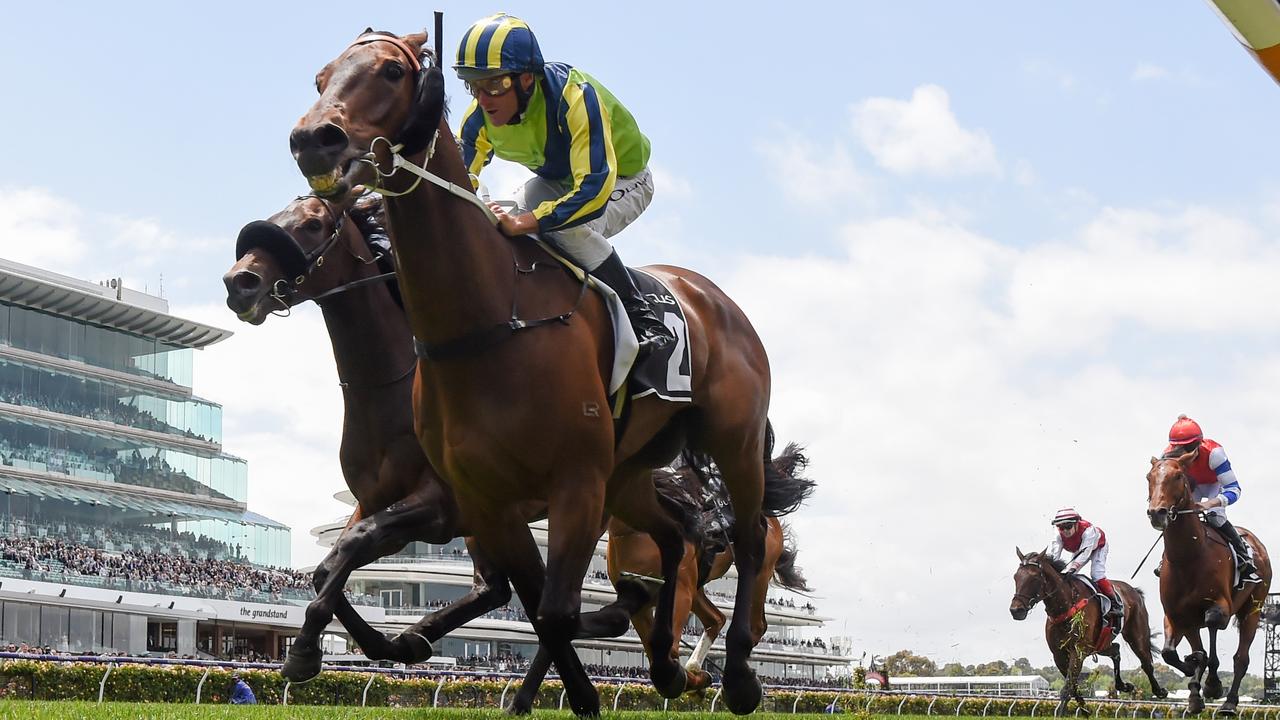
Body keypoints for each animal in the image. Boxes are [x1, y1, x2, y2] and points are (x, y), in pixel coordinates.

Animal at [286, 29, 773, 712]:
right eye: (321, 76)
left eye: (389, 71)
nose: (313, 139)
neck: (486, 323)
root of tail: (712, 294)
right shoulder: (487, 499)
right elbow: (535, 605)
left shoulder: (569, 484)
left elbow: (553, 611)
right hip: (628, 471)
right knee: (673, 538)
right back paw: (667, 664)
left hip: (732, 442)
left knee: (749, 538)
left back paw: (736, 675)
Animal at [506, 435, 808, 707]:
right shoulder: (641, 601)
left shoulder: (677, 594)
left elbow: (665, 659)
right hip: (697, 585)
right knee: (716, 618)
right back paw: (696, 667)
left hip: (757, 572)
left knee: (755, 624)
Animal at [1008, 545, 1172, 707]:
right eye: (1016, 577)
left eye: (1034, 578)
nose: (1016, 610)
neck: (1066, 605)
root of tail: (1134, 590)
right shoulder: (1059, 655)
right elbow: (1074, 690)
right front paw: (1085, 711)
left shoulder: (1078, 651)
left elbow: (1067, 690)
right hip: (1100, 643)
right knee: (1116, 649)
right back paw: (1124, 685)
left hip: (1136, 635)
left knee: (1146, 662)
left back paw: (1159, 691)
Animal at [1152, 453, 1269, 712]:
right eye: (1149, 477)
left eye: (1178, 476)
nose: (1157, 512)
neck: (1188, 557)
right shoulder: (1176, 614)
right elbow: (1170, 653)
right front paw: (1193, 682)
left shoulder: (1220, 606)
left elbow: (1213, 630)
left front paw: (1213, 684)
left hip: (1253, 609)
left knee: (1241, 658)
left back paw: (1229, 703)